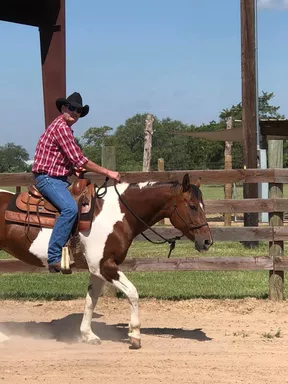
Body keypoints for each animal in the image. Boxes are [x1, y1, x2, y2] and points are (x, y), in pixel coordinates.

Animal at [0, 173, 212, 348]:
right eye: (192, 206)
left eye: (203, 205)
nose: (207, 241)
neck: (118, 213)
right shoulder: (104, 267)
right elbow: (132, 293)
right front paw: (135, 335)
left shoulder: (97, 270)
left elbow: (91, 300)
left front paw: (88, 335)